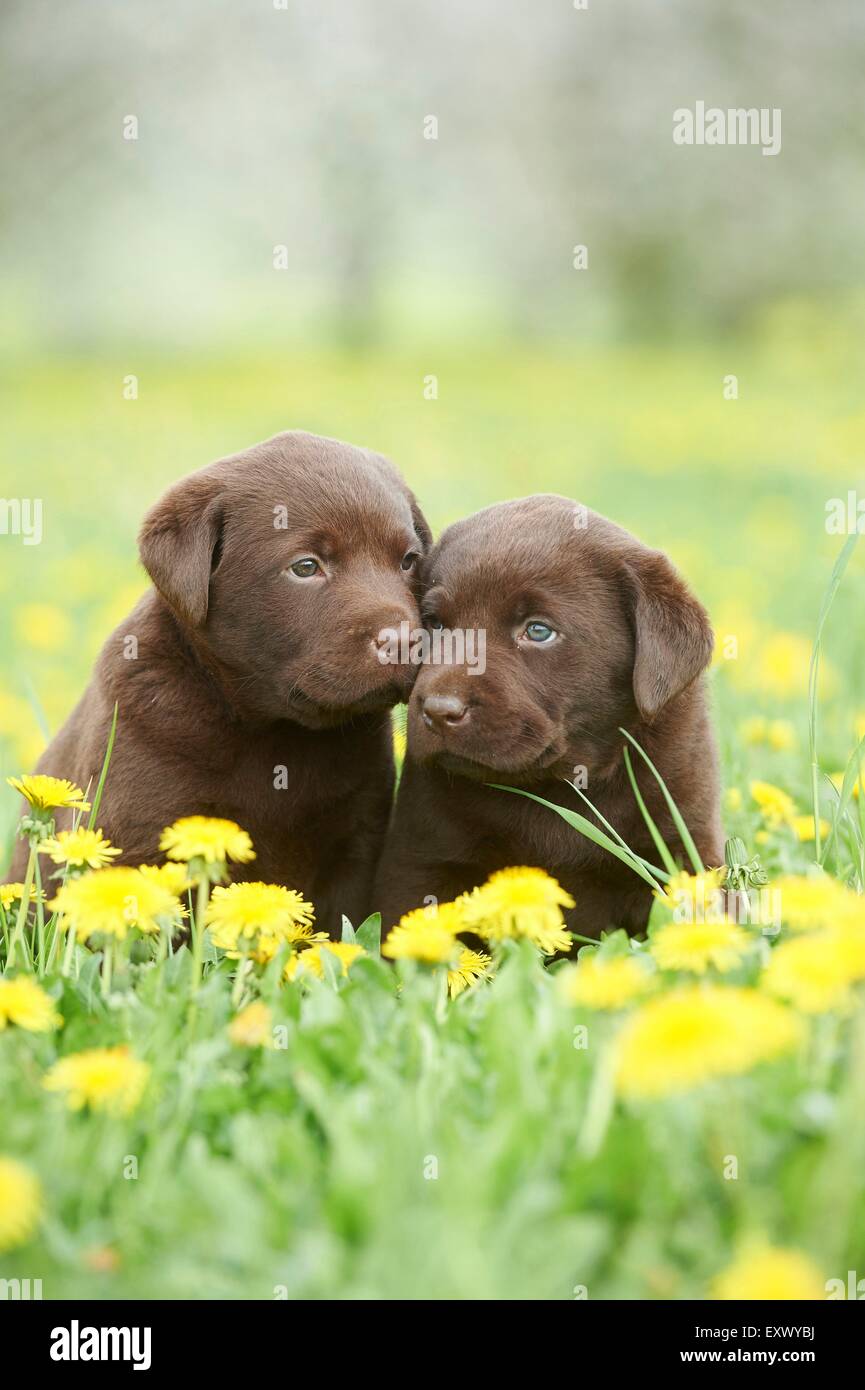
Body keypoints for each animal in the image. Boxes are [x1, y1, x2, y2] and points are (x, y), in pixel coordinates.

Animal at [11, 433, 431, 934]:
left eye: (408, 561)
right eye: (305, 567)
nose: (405, 640)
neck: (275, 731)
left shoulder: (357, 842)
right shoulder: (138, 833)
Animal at [378, 494, 723, 939]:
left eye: (538, 631)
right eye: (435, 624)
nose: (438, 710)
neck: (555, 782)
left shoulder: (686, 843)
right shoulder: (419, 857)